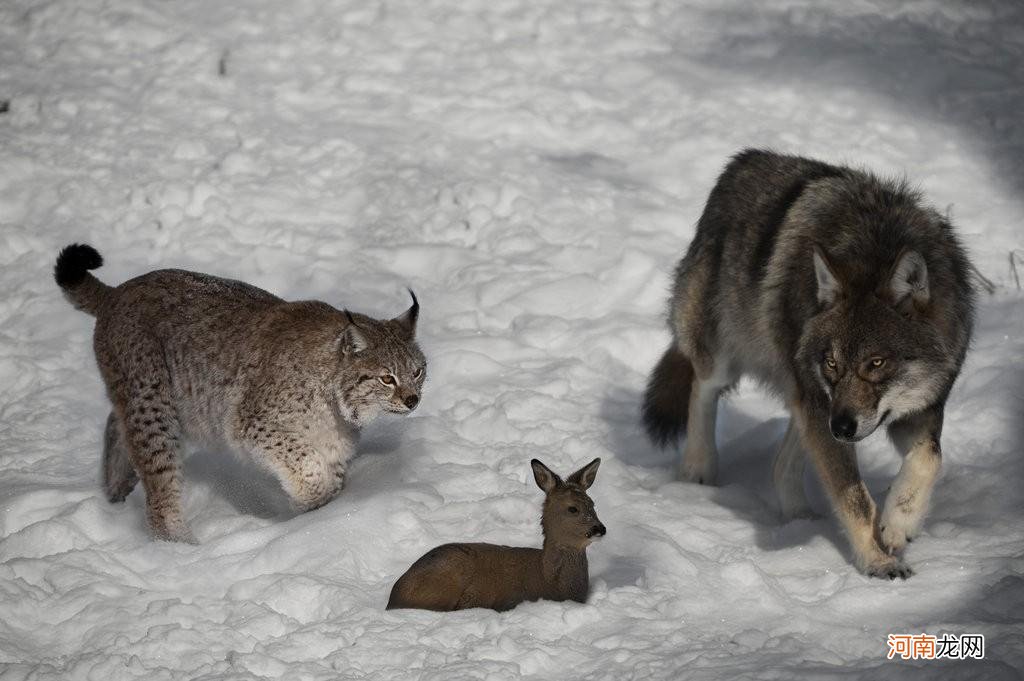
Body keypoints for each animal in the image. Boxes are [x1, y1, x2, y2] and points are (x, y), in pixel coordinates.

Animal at [55, 244, 423, 540]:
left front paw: (321, 516)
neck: (336, 403)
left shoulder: (332, 443)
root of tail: (118, 291)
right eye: (387, 378)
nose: (413, 400)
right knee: (159, 489)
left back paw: (115, 490)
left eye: (418, 372)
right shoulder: (250, 422)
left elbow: (330, 475)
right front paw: (309, 499)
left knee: (114, 422)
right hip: (153, 403)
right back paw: (178, 548)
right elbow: (305, 463)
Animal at [643, 150, 970, 577]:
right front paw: (878, 561)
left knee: (782, 463)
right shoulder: (824, 406)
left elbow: (930, 458)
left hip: (807, 399)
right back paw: (698, 471)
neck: (875, 244)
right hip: (736, 363)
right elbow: (855, 498)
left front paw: (898, 526)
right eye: (832, 363)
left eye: (876, 362)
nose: (842, 427)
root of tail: (742, 160)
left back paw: (799, 518)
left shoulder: (918, 410)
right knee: (702, 388)